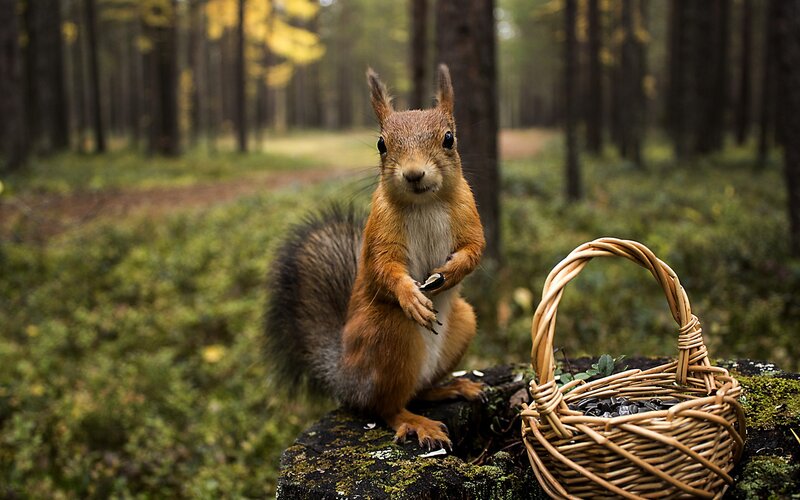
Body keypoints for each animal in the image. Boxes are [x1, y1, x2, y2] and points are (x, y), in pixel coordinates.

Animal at [265, 65, 485, 450]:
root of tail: (346, 379)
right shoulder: (380, 231)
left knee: (418, 391)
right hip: (388, 334)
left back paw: (452, 387)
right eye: (382, 144)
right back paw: (416, 422)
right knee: (386, 406)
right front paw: (411, 296)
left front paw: (450, 272)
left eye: (449, 138)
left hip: (463, 323)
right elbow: (384, 268)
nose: (414, 174)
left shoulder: (469, 214)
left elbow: (474, 249)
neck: (425, 203)